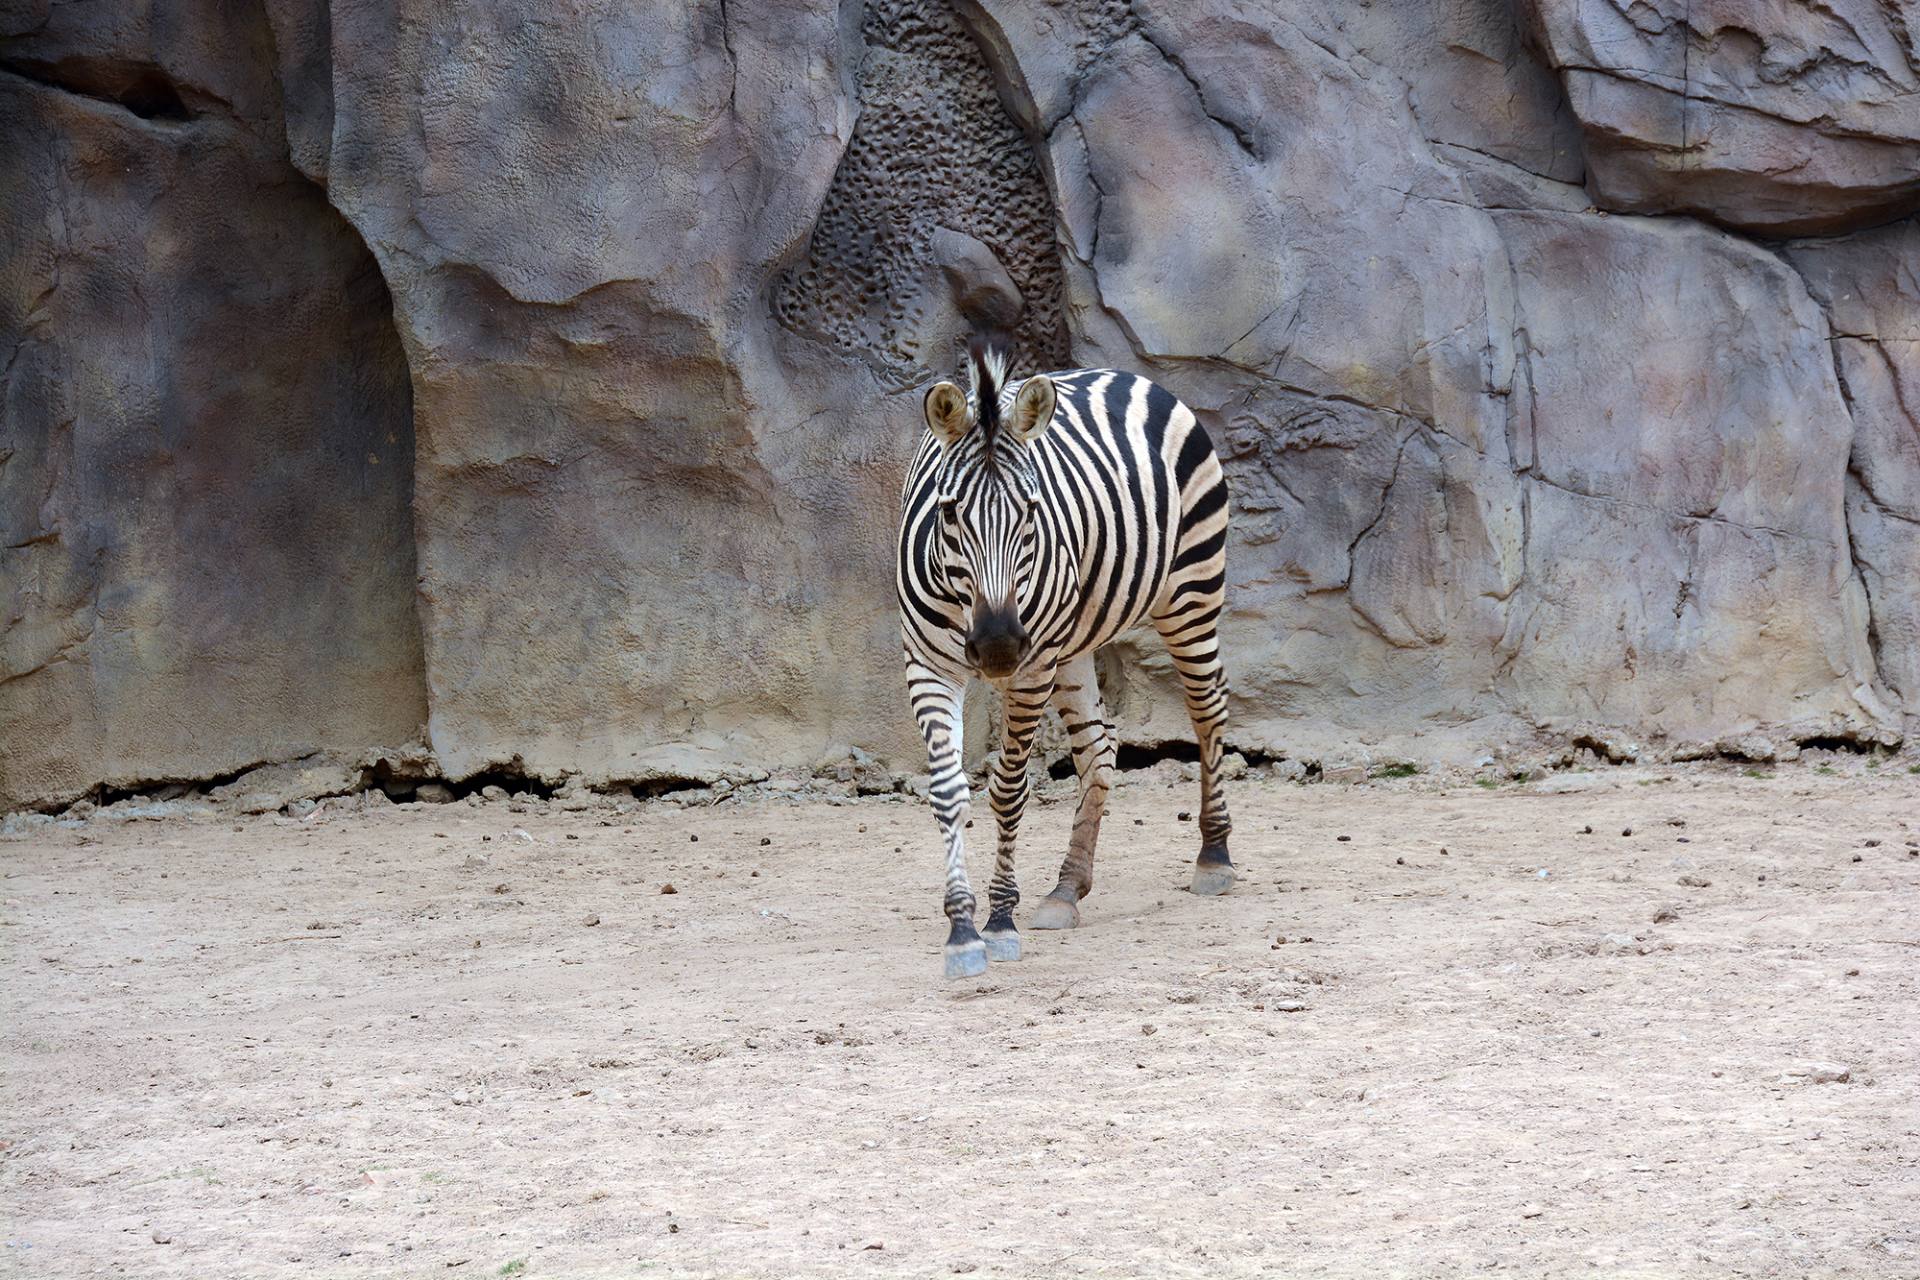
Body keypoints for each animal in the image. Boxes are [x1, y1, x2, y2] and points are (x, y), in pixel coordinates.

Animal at [894, 333, 1236, 982]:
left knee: (1209, 715)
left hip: (1191, 591)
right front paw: (962, 931)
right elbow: (949, 792)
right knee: (1100, 750)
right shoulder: (929, 665)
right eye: (949, 513)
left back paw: (1214, 856)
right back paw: (1066, 889)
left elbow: (1008, 791)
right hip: (1072, 644)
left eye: (1031, 510)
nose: (998, 645)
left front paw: (1000, 920)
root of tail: (1126, 375)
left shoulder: (1032, 669)